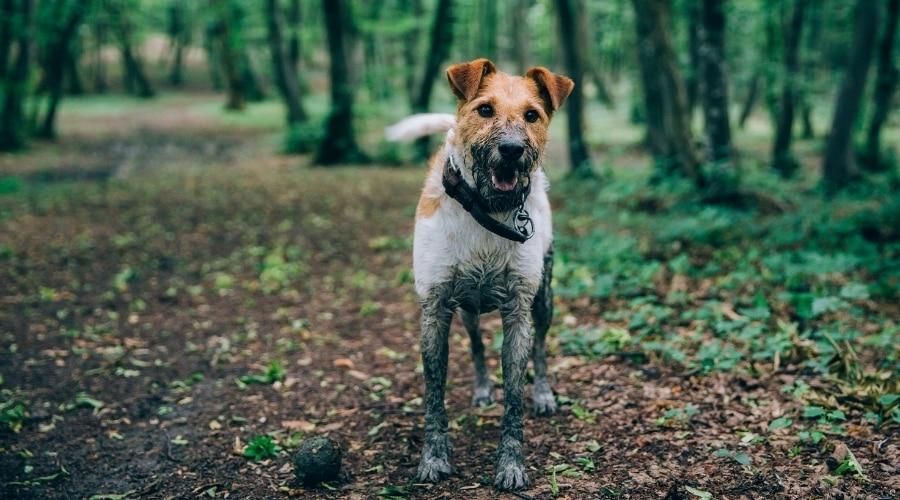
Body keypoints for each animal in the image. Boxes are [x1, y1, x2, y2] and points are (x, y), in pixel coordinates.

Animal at [388, 59, 572, 492]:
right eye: (485, 109)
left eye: (532, 115)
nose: (512, 150)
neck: (487, 212)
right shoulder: (435, 309)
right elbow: (434, 394)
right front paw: (434, 458)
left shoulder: (519, 311)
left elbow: (515, 397)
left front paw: (511, 464)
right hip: (467, 309)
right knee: (474, 344)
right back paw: (483, 387)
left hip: (545, 300)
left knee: (541, 348)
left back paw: (543, 394)